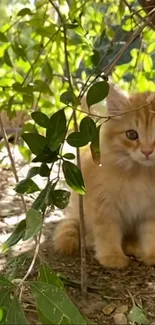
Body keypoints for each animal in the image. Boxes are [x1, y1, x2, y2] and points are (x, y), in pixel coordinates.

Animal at [53, 83, 155, 268]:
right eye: (132, 134)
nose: (147, 152)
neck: (140, 173)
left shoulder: (151, 210)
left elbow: (151, 233)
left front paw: (151, 254)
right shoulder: (103, 203)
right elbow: (107, 231)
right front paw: (112, 256)